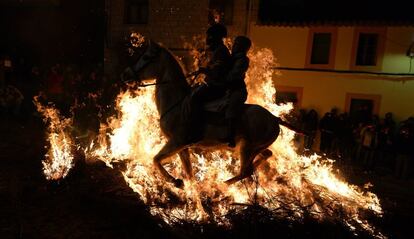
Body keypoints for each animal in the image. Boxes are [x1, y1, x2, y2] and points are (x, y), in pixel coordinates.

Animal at [120, 38, 300, 187]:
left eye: (145, 57)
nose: (125, 73)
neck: (178, 103)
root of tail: (275, 119)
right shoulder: (182, 147)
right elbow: (189, 173)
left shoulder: (177, 142)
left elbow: (155, 159)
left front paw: (175, 181)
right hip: (256, 147)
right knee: (265, 156)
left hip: (247, 148)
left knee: (245, 172)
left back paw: (222, 185)